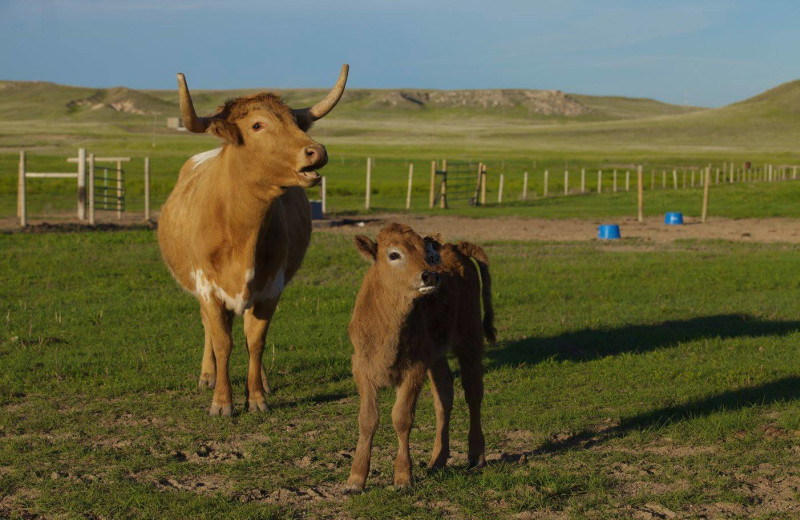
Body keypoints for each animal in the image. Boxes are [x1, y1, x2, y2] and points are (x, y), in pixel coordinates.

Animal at [160, 65, 350, 416]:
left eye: (294, 121)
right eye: (257, 125)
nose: (317, 151)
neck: (241, 233)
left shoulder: (270, 287)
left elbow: (255, 341)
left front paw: (257, 397)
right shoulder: (207, 287)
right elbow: (222, 341)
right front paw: (222, 401)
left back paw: (262, 381)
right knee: (208, 328)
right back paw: (208, 376)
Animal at [346, 223, 494, 492]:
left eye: (425, 253)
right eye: (394, 254)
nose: (430, 276)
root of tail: (457, 247)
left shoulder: (414, 369)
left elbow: (402, 417)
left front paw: (403, 476)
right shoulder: (362, 368)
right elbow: (368, 419)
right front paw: (355, 479)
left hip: (470, 338)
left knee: (473, 392)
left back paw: (476, 454)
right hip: (436, 356)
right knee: (444, 397)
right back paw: (438, 460)